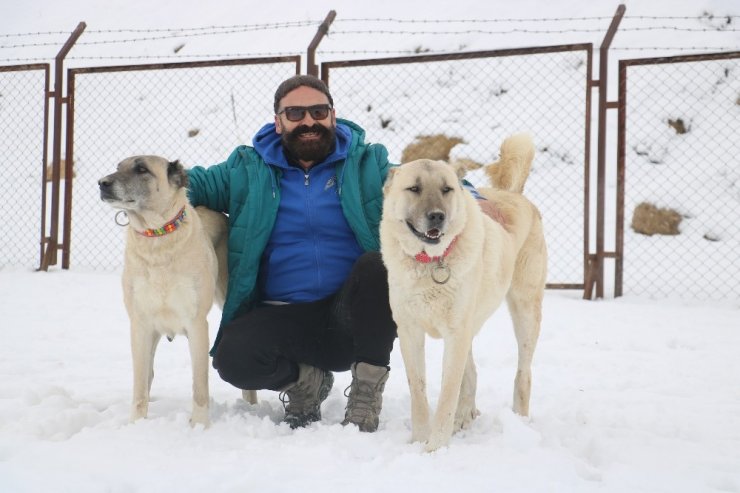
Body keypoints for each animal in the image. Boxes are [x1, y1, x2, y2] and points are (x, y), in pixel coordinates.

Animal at [99, 156, 258, 424]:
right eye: (119, 167)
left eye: (141, 169)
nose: (102, 183)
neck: (157, 236)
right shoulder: (140, 324)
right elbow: (140, 386)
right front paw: (136, 425)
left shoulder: (196, 323)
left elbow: (200, 385)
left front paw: (199, 426)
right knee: (148, 375)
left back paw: (251, 407)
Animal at [382, 133, 544, 452]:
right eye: (414, 188)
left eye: (447, 189)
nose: (437, 216)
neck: (431, 262)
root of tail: (515, 195)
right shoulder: (410, 331)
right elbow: (418, 391)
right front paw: (419, 439)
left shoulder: (455, 333)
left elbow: (447, 392)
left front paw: (434, 448)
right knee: (472, 374)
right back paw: (464, 417)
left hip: (525, 311)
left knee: (523, 373)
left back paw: (518, 423)